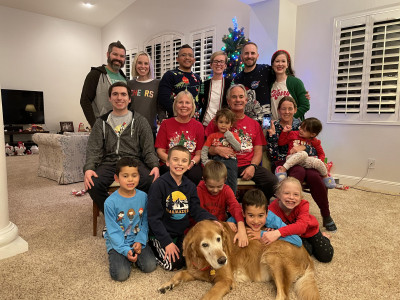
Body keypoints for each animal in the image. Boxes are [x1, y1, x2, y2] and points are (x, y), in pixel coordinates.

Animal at [159, 219, 318, 298]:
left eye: (218, 239)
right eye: (204, 244)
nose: (223, 260)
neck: (204, 261)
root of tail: (307, 255)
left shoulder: (225, 281)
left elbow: (208, 296)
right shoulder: (195, 271)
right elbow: (180, 273)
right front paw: (167, 284)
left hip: (272, 256)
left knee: (283, 295)